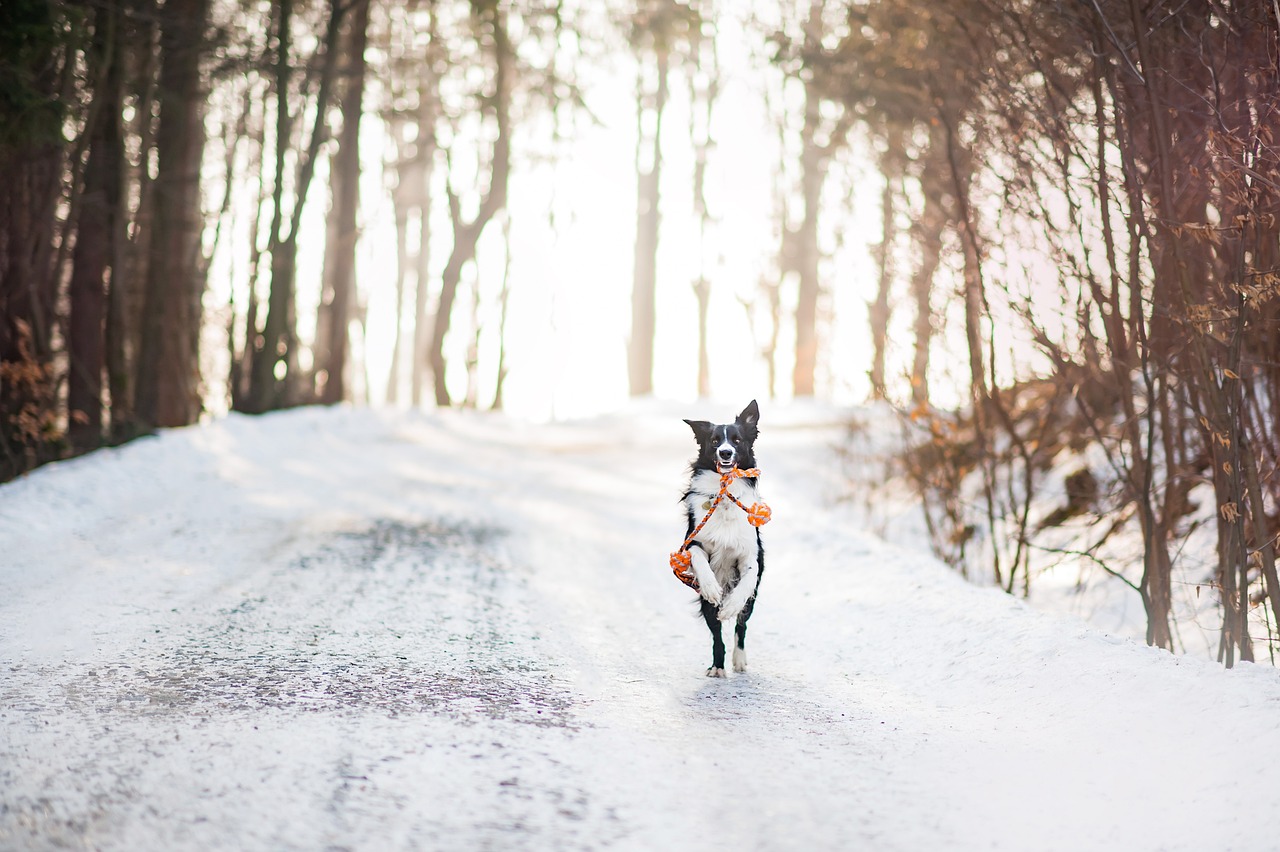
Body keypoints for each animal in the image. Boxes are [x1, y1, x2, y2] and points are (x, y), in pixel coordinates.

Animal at [680, 399, 768, 675]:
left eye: (737, 440)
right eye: (715, 441)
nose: (726, 453)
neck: (725, 493)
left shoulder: (751, 552)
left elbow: (748, 579)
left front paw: (731, 605)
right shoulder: (692, 541)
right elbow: (699, 559)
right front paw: (712, 587)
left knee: (741, 626)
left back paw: (739, 660)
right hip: (705, 606)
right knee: (716, 632)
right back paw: (718, 666)